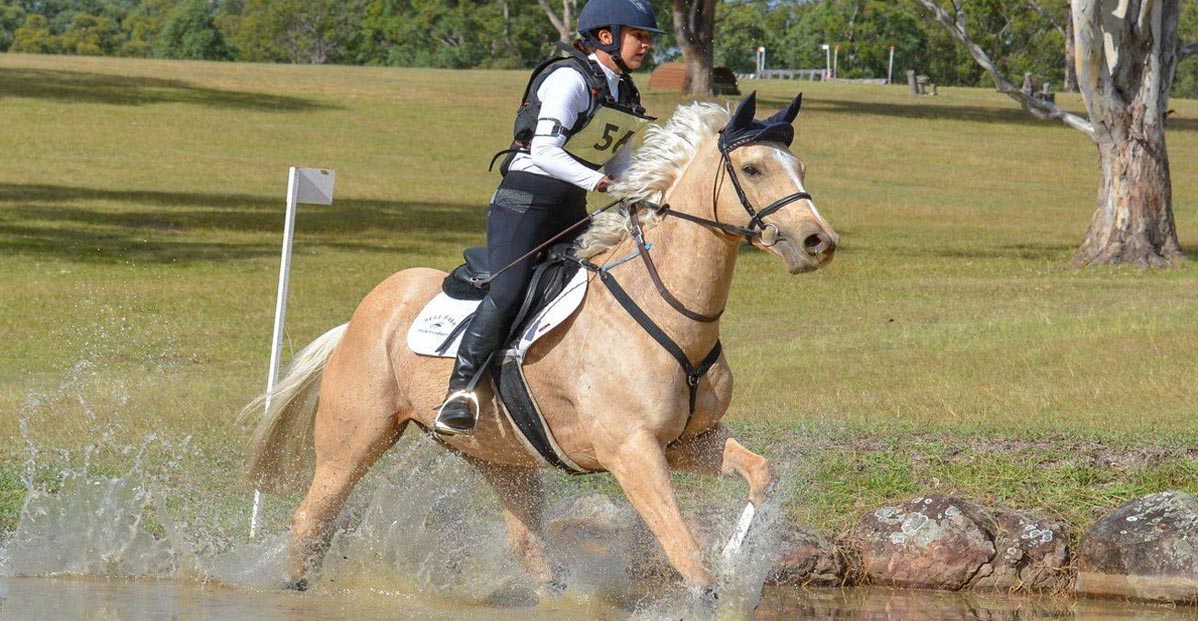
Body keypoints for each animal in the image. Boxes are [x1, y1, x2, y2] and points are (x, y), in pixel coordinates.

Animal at [243, 92, 838, 599]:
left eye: (802, 169)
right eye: (752, 169)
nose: (818, 242)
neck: (671, 309)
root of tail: (361, 316)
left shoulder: (689, 442)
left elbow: (761, 475)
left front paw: (739, 562)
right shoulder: (632, 451)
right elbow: (683, 549)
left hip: (502, 457)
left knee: (529, 545)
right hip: (355, 439)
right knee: (312, 519)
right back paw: (293, 586)